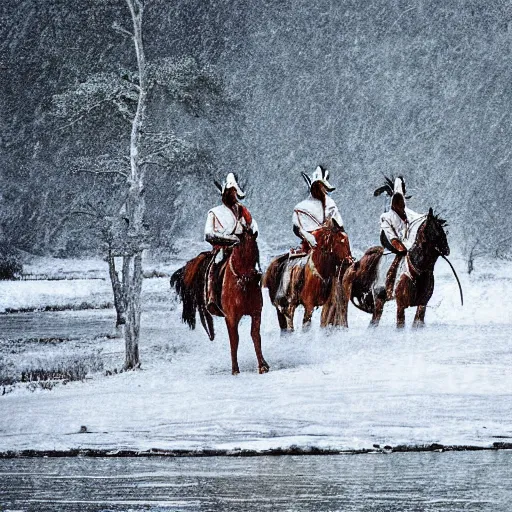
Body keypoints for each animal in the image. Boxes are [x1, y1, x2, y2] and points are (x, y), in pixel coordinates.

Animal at [171, 228, 270, 376]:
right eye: (240, 250)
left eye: (255, 250)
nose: (253, 275)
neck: (243, 285)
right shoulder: (231, 318)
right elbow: (234, 340)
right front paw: (235, 370)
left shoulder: (256, 313)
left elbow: (255, 336)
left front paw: (262, 366)